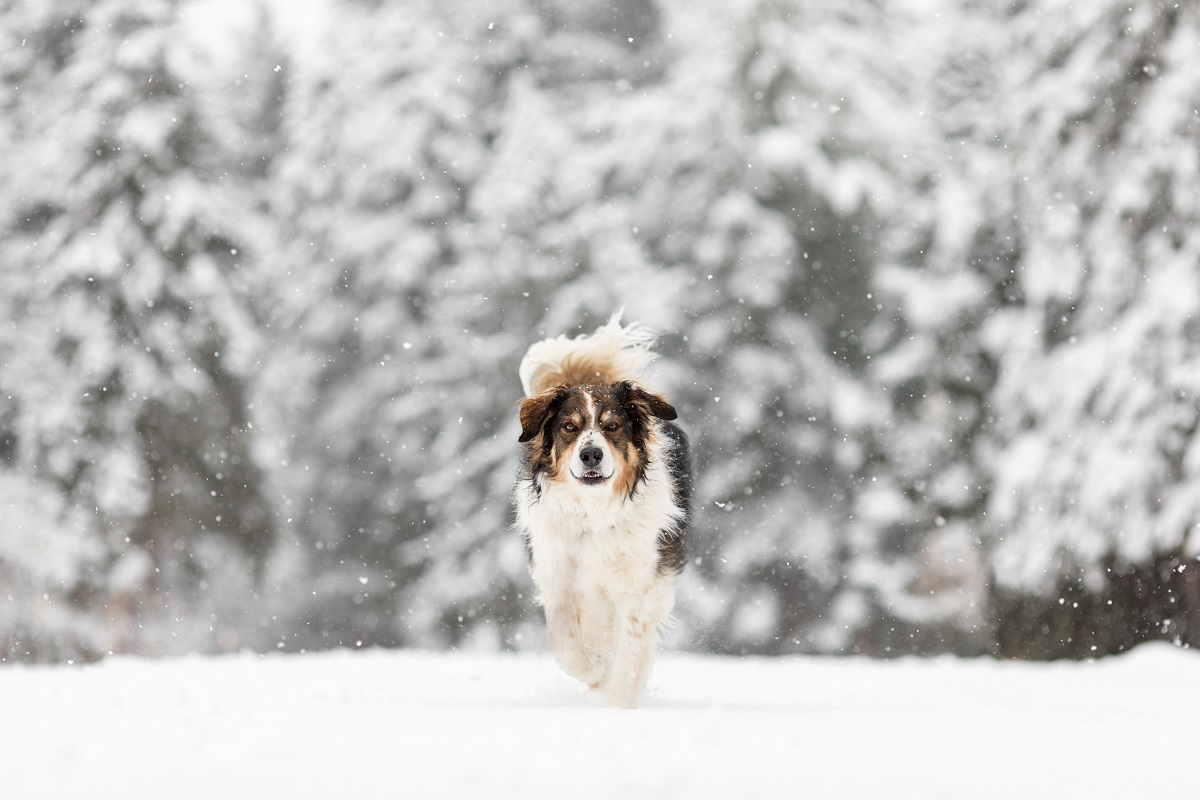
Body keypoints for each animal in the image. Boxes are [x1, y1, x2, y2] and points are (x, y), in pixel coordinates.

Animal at [516, 316, 696, 710]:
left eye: (612, 426)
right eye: (569, 427)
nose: (591, 454)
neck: (593, 514)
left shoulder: (639, 589)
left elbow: (627, 661)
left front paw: (618, 707)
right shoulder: (559, 578)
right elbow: (567, 645)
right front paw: (596, 669)